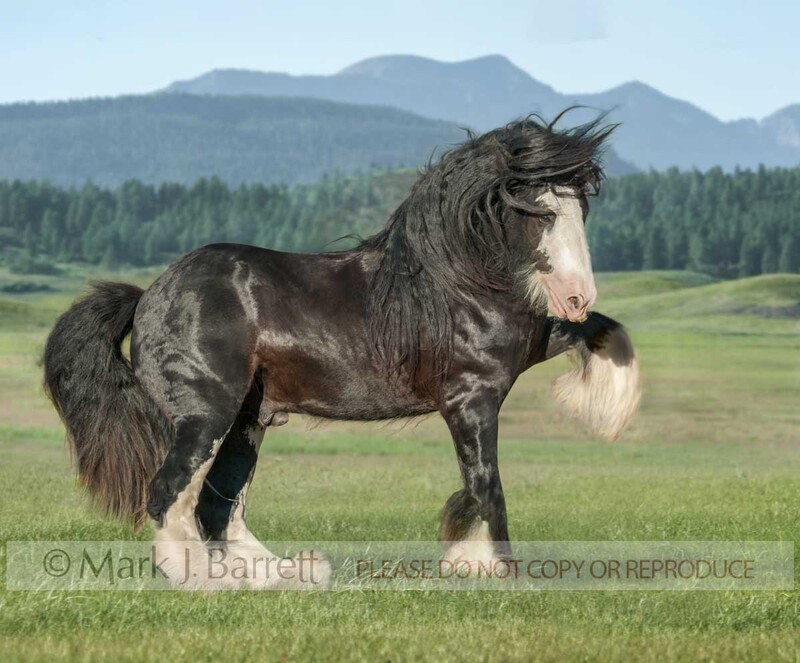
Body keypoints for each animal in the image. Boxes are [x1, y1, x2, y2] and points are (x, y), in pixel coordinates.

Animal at [43, 113, 640, 589]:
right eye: (537, 212)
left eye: (580, 208)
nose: (576, 297)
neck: (450, 287)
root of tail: (148, 295)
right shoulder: (472, 399)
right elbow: (486, 487)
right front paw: (497, 571)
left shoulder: (522, 352)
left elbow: (601, 332)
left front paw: (608, 412)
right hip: (206, 414)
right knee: (171, 494)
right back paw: (204, 581)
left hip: (247, 421)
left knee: (220, 504)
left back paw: (286, 574)